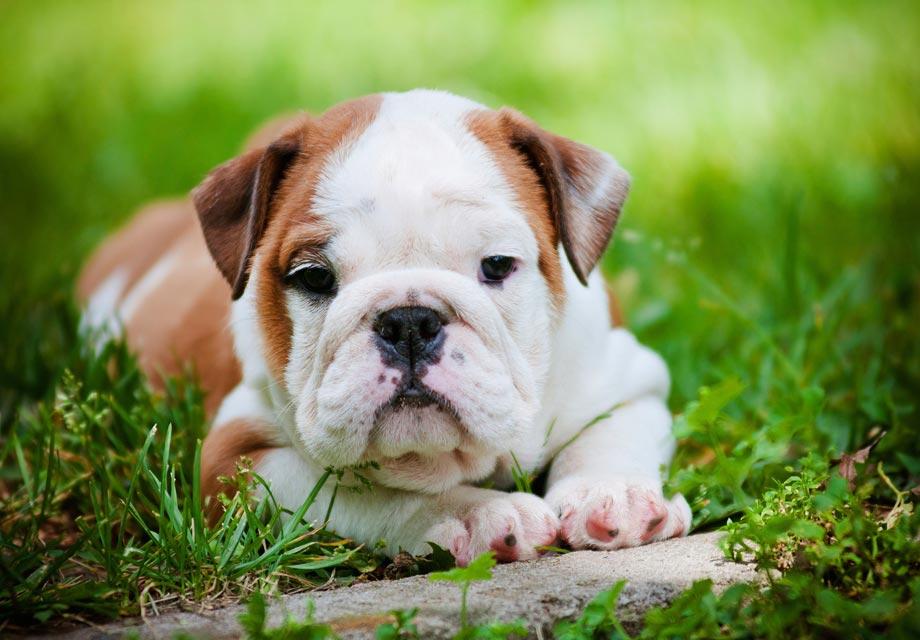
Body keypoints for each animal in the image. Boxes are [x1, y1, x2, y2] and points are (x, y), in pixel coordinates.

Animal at [81, 89, 688, 564]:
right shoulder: (236, 462)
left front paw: (612, 496)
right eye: (313, 276)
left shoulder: (631, 379)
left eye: (497, 265)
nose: (409, 322)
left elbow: (611, 434)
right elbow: (360, 490)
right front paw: (475, 514)